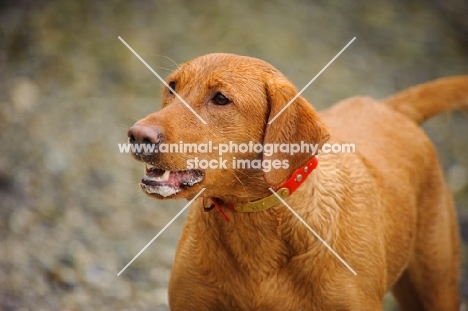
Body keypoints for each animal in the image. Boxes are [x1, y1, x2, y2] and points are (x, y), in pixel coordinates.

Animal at [124, 52, 464, 310]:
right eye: (172, 87)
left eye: (220, 98)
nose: (138, 135)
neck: (258, 228)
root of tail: (389, 107)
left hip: (437, 286)